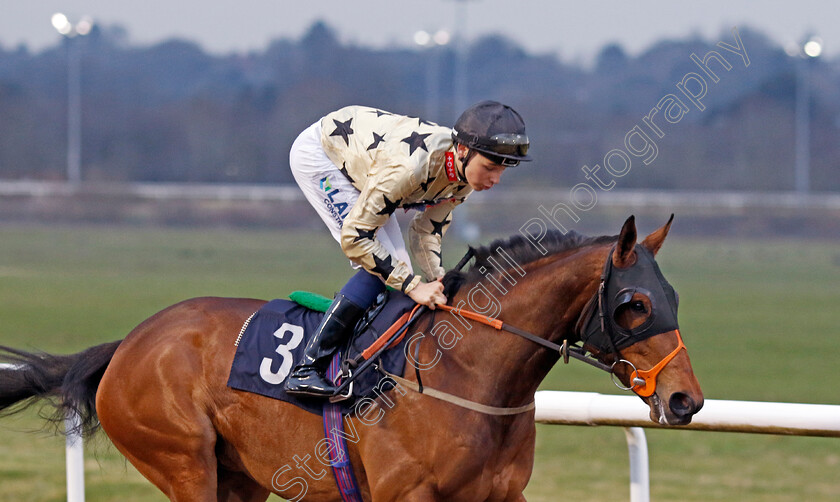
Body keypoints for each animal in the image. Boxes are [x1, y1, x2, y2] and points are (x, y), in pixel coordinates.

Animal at [0, 217, 704, 502]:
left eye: (673, 297)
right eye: (635, 304)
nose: (685, 399)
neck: (470, 375)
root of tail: (128, 342)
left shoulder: (501, 495)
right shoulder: (406, 495)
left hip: (240, 477)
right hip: (182, 462)